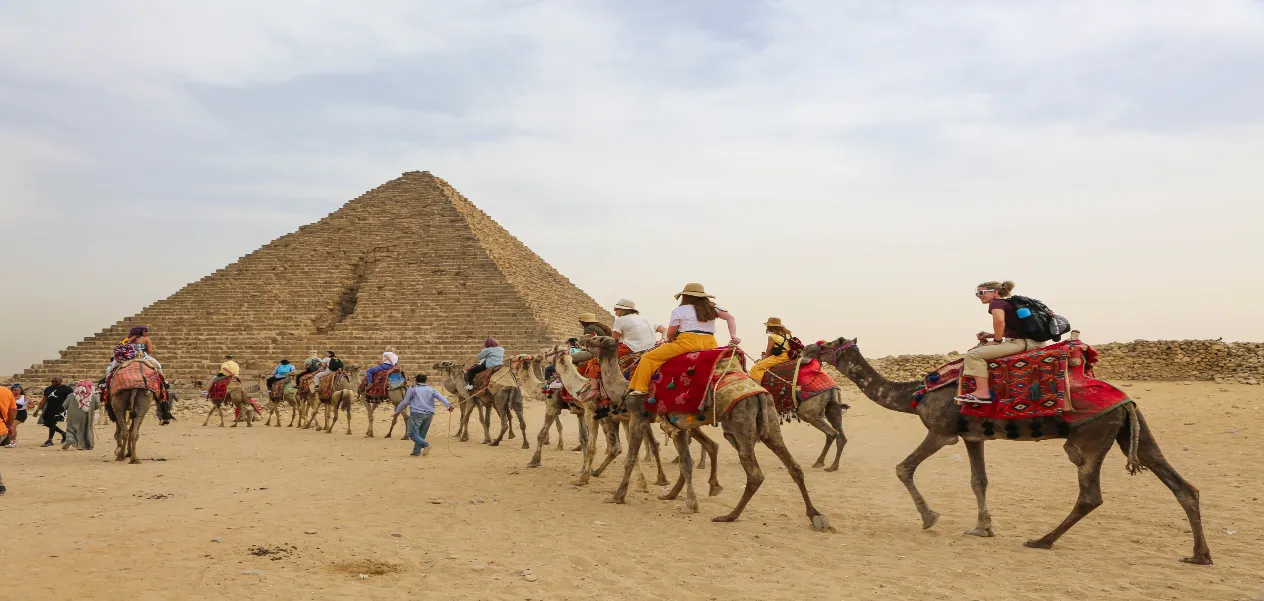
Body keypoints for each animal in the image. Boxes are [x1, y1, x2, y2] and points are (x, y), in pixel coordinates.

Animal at [589, 339, 829, 531]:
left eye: (598, 339)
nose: (582, 342)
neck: (624, 388)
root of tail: (759, 394)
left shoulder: (638, 417)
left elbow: (630, 459)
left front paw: (617, 496)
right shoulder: (677, 424)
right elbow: (685, 462)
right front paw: (676, 497)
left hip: (739, 426)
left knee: (755, 474)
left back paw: (729, 516)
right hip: (769, 422)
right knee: (793, 467)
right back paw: (815, 515)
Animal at [803, 339, 1208, 564]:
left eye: (827, 344)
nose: (805, 349)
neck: (915, 393)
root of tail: (1126, 403)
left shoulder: (942, 431)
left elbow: (904, 468)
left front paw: (930, 517)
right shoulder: (972, 436)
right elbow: (978, 480)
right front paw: (983, 527)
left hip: (1090, 437)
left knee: (1090, 495)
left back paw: (1041, 540)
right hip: (1129, 429)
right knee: (1182, 486)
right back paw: (1199, 555)